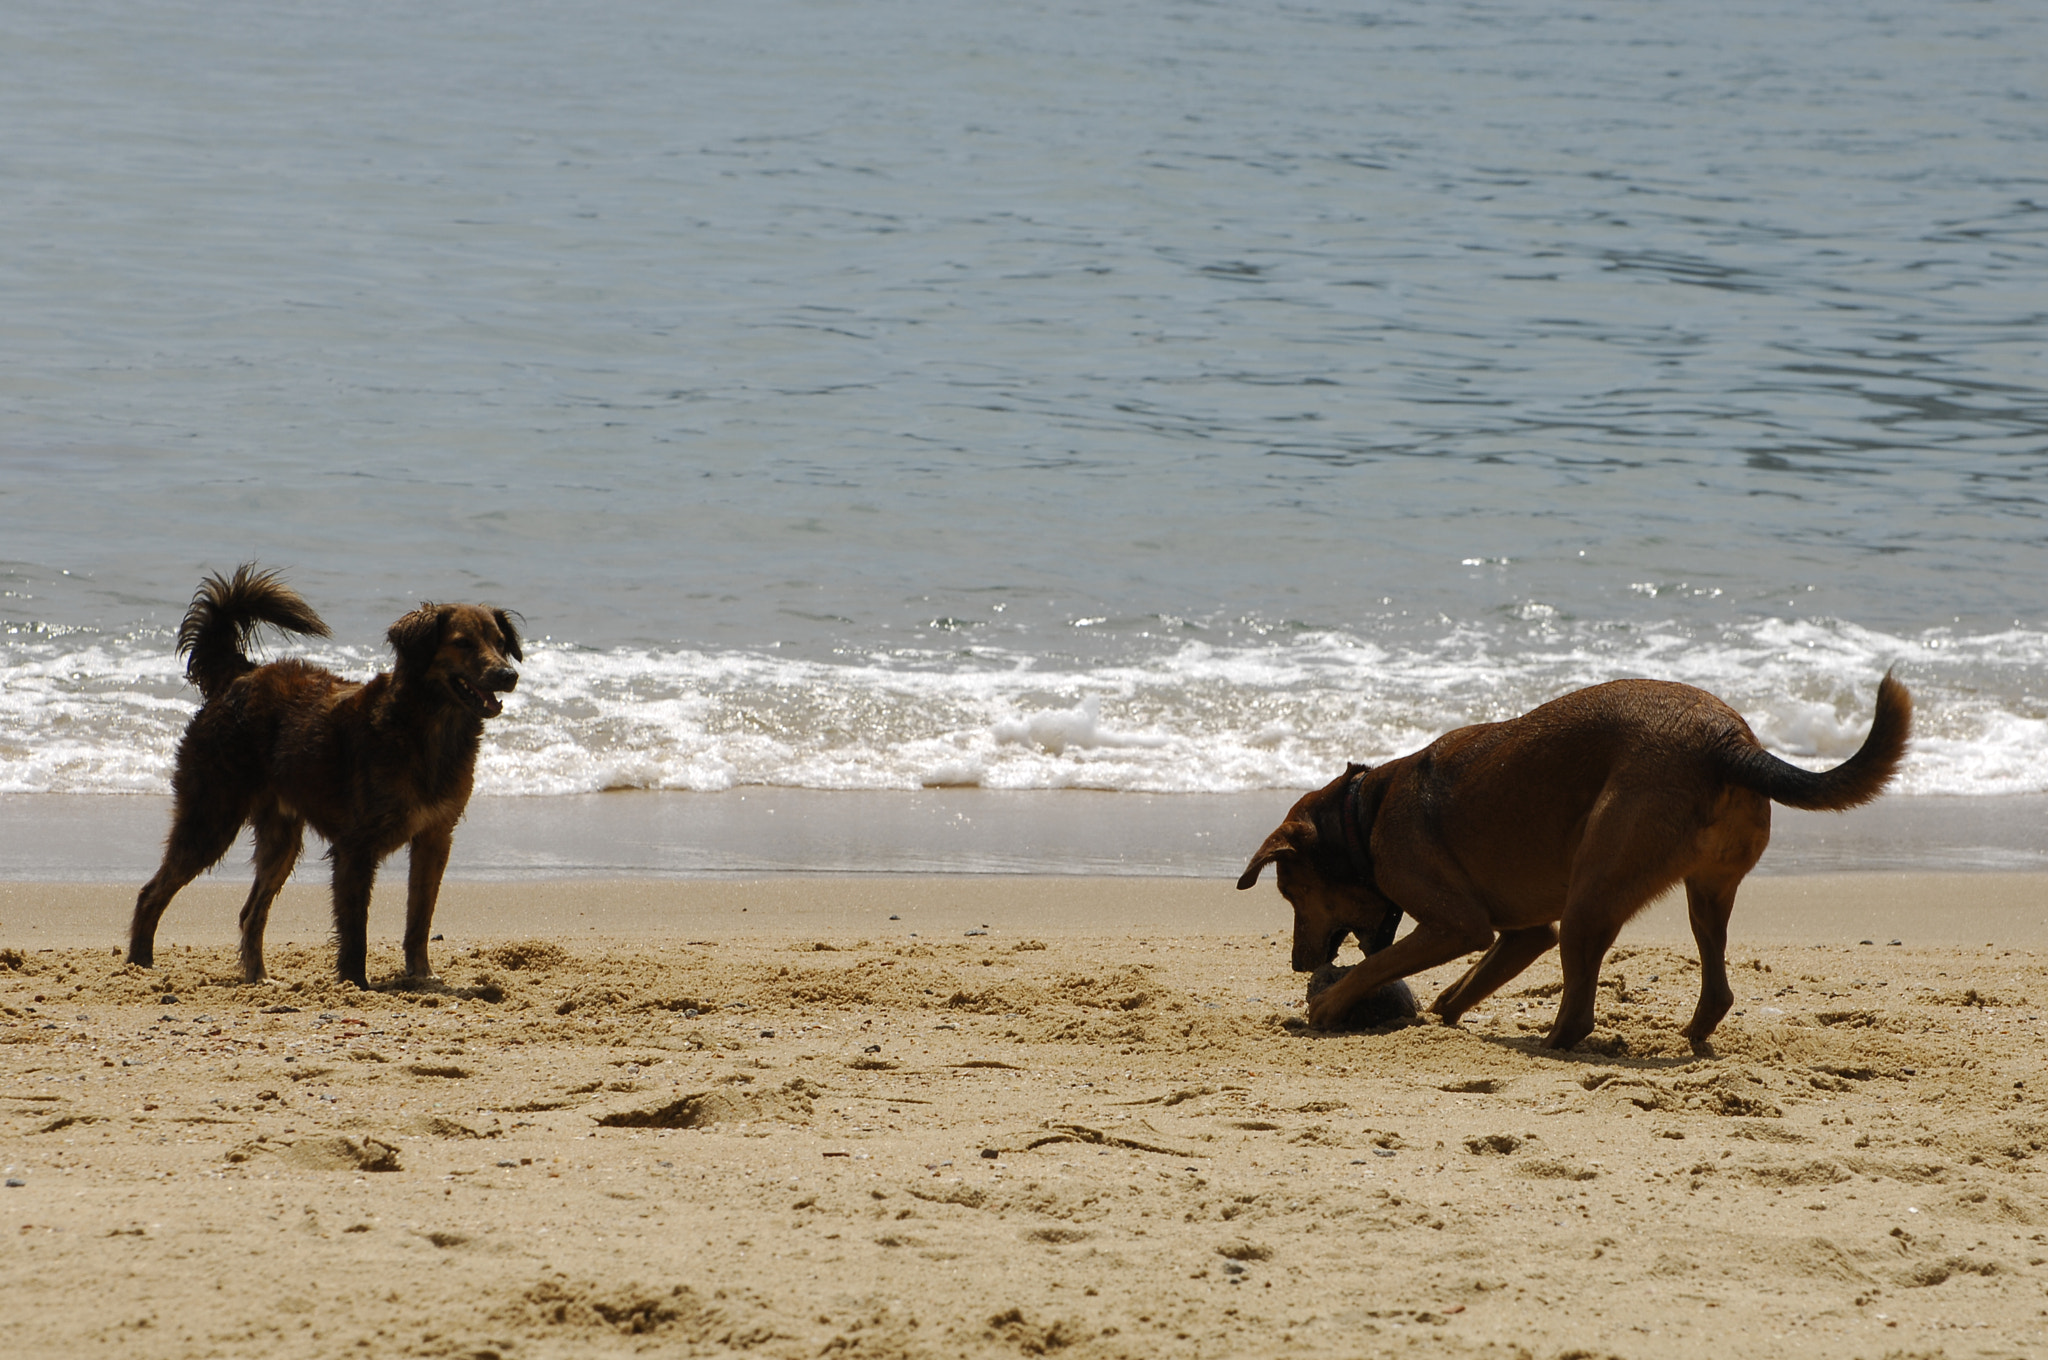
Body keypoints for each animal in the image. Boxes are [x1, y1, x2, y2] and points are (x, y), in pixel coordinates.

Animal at [129, 561, 524, 987]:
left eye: (501, 643)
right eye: (463, 643)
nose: (508, 675)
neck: (427, 728)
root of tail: (240, 676)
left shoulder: (435, 837)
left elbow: (420, 917)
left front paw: (421, 975)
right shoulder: (356, 846)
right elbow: (355, 929)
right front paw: (355, 984)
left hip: (280, 839)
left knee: (250, 911)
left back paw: (259, 977)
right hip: (211, 818)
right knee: (151, 893)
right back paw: (139, 964)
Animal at [1236, 675, 1908, 1044]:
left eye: (1291, 893)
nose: (1299, 965)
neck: (1361, 814)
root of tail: (1730, 742)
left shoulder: (1460, 925)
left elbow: (1377, 965)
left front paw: (1328, 1005)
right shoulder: (1525, 933)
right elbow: (1464, 983)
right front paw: (1440, 1012)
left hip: (1595, 891)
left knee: (1581, 1011)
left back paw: (1553, 1042)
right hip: (1705, 892)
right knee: (1716, 985)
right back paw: (1692, 1035)